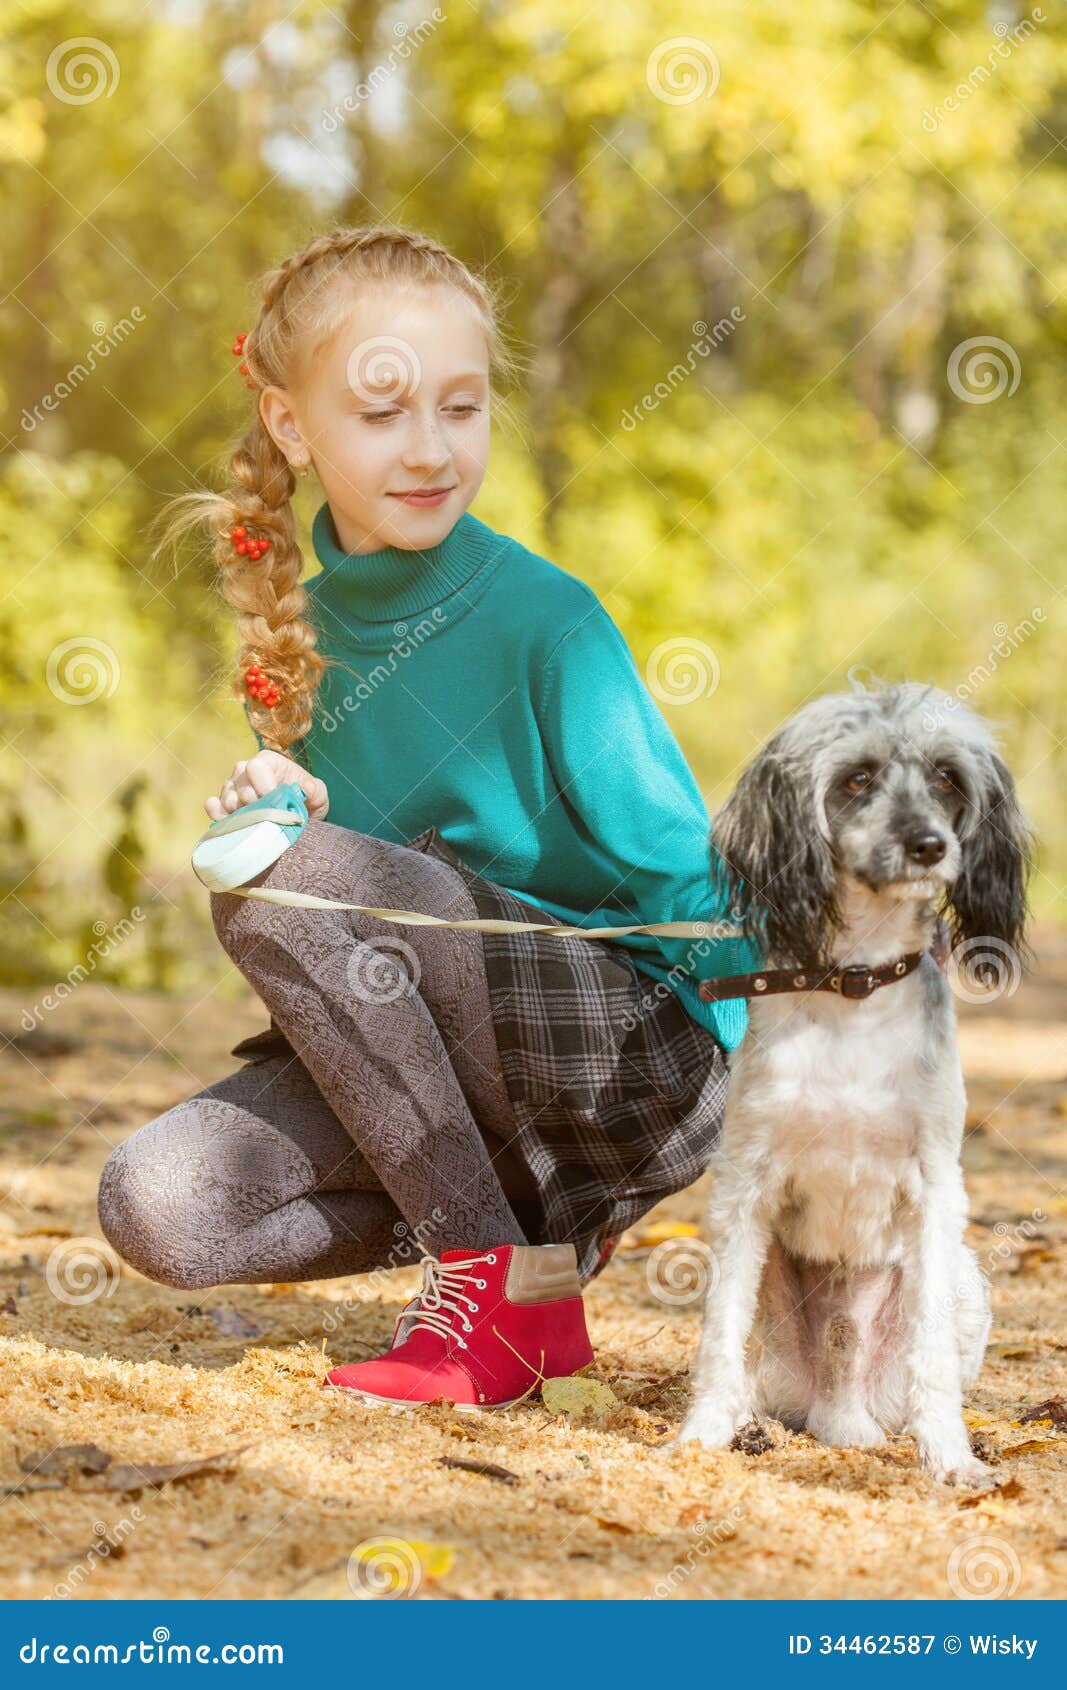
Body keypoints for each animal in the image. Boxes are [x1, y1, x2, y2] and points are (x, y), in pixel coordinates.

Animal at [676, 672, 1034, 1480]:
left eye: (945, 776)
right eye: (858, 778)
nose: (930, 844)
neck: (856, 987)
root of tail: (836, 1407)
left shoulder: (934, 1190)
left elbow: (932, 1358)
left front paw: (950, 1458)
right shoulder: (744, 1185)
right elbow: (719, 1338)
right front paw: (699, 1436)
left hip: (963, 1282)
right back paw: (748, 1427)